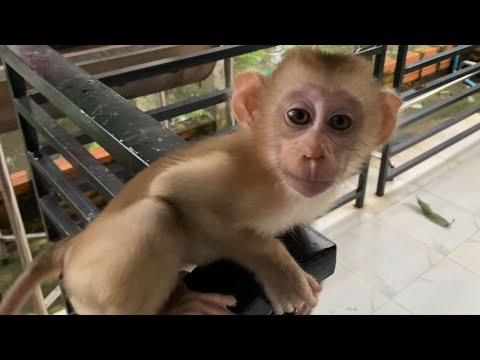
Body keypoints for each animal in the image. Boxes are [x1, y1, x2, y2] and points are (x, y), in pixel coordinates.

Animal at [0, 48, 402, 316]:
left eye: (340, 123)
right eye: (298, 116)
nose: (314, 153)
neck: (273, 174)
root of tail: (74, 244)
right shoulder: (236, 172)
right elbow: (179, 193)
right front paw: (283, 274)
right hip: (90, 284)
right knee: (156, 215)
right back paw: (177, 303)